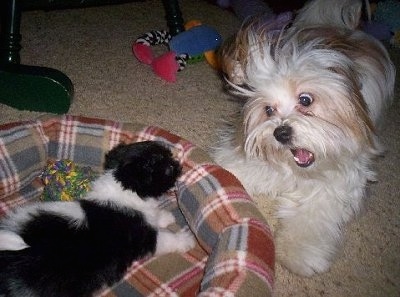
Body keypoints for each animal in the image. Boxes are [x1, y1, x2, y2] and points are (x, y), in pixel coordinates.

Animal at [0, 140, 195, 296]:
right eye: (168, 168)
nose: (178, 164)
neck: (123, 188)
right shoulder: (144, 238)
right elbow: (167, 238)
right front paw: (186, 240)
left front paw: (165, 217)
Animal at [214, 0, 396, 276]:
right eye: (269, 110)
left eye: (306, 100)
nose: (280, 132)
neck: (298, 172)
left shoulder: (337, 184)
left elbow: (312, 218)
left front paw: (299, 254)